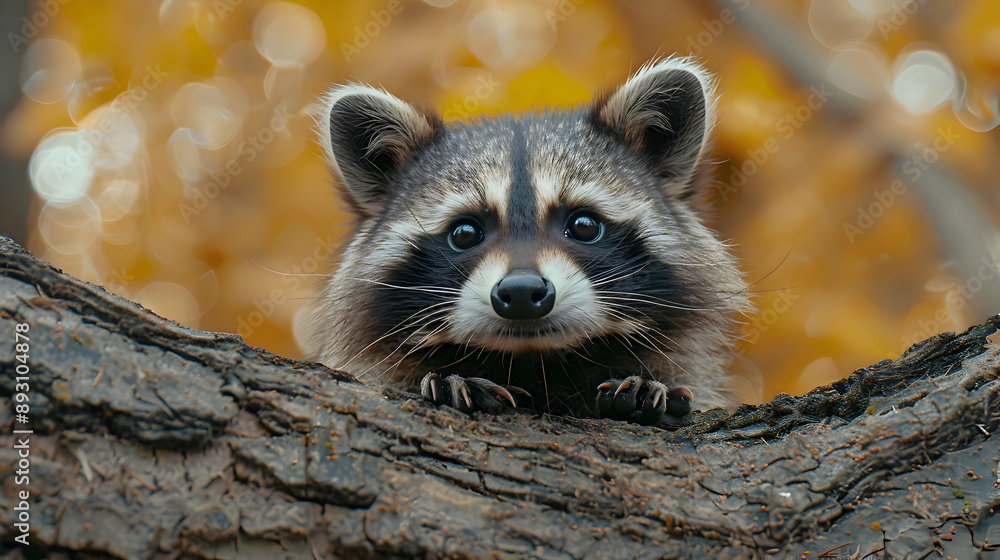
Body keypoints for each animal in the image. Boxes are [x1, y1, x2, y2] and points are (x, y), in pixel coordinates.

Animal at [304, 58, 752, 424]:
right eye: (464, 233)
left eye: (584, 225)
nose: (521, 292)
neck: (538, 361)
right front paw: (454, 378)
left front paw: (646, 383)